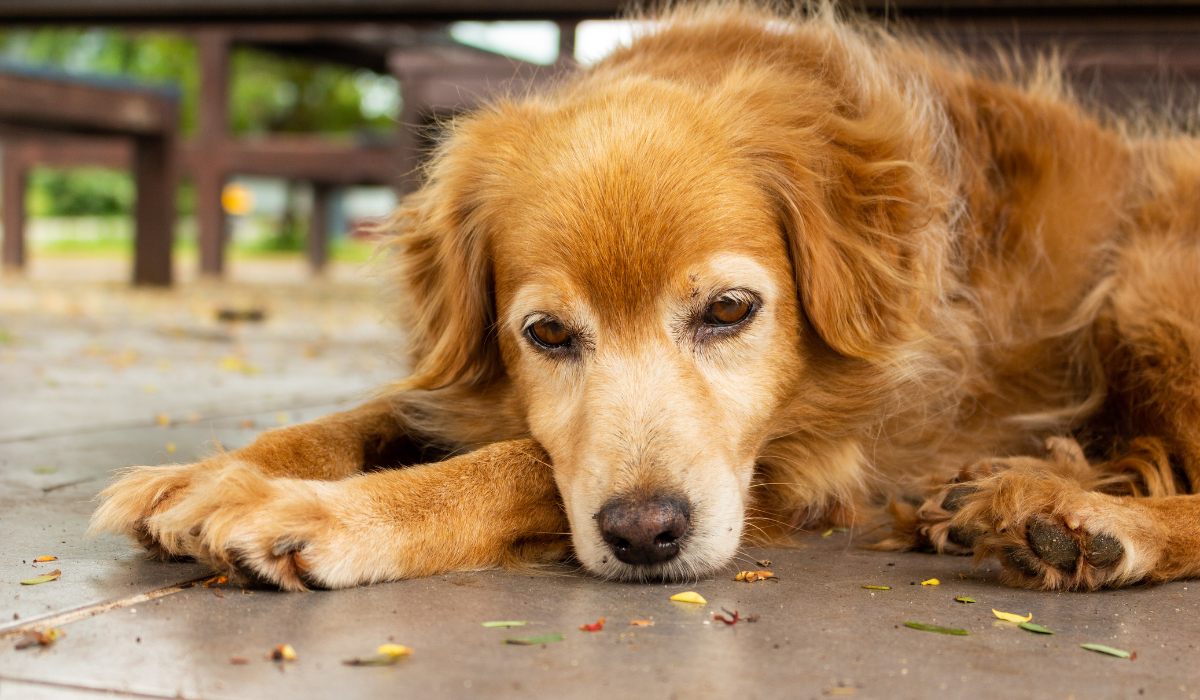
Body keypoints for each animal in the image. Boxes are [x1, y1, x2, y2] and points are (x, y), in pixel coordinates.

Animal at [88, 2, 1200, 590]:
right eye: (546, 333)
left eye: (730, 312)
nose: (643, 534)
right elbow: (375, 413)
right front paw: (211, 473)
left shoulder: (812, 458)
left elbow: (520, 464)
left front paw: (318, 513)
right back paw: (1007, 490)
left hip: (1145, 287)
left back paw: (1084, 521)